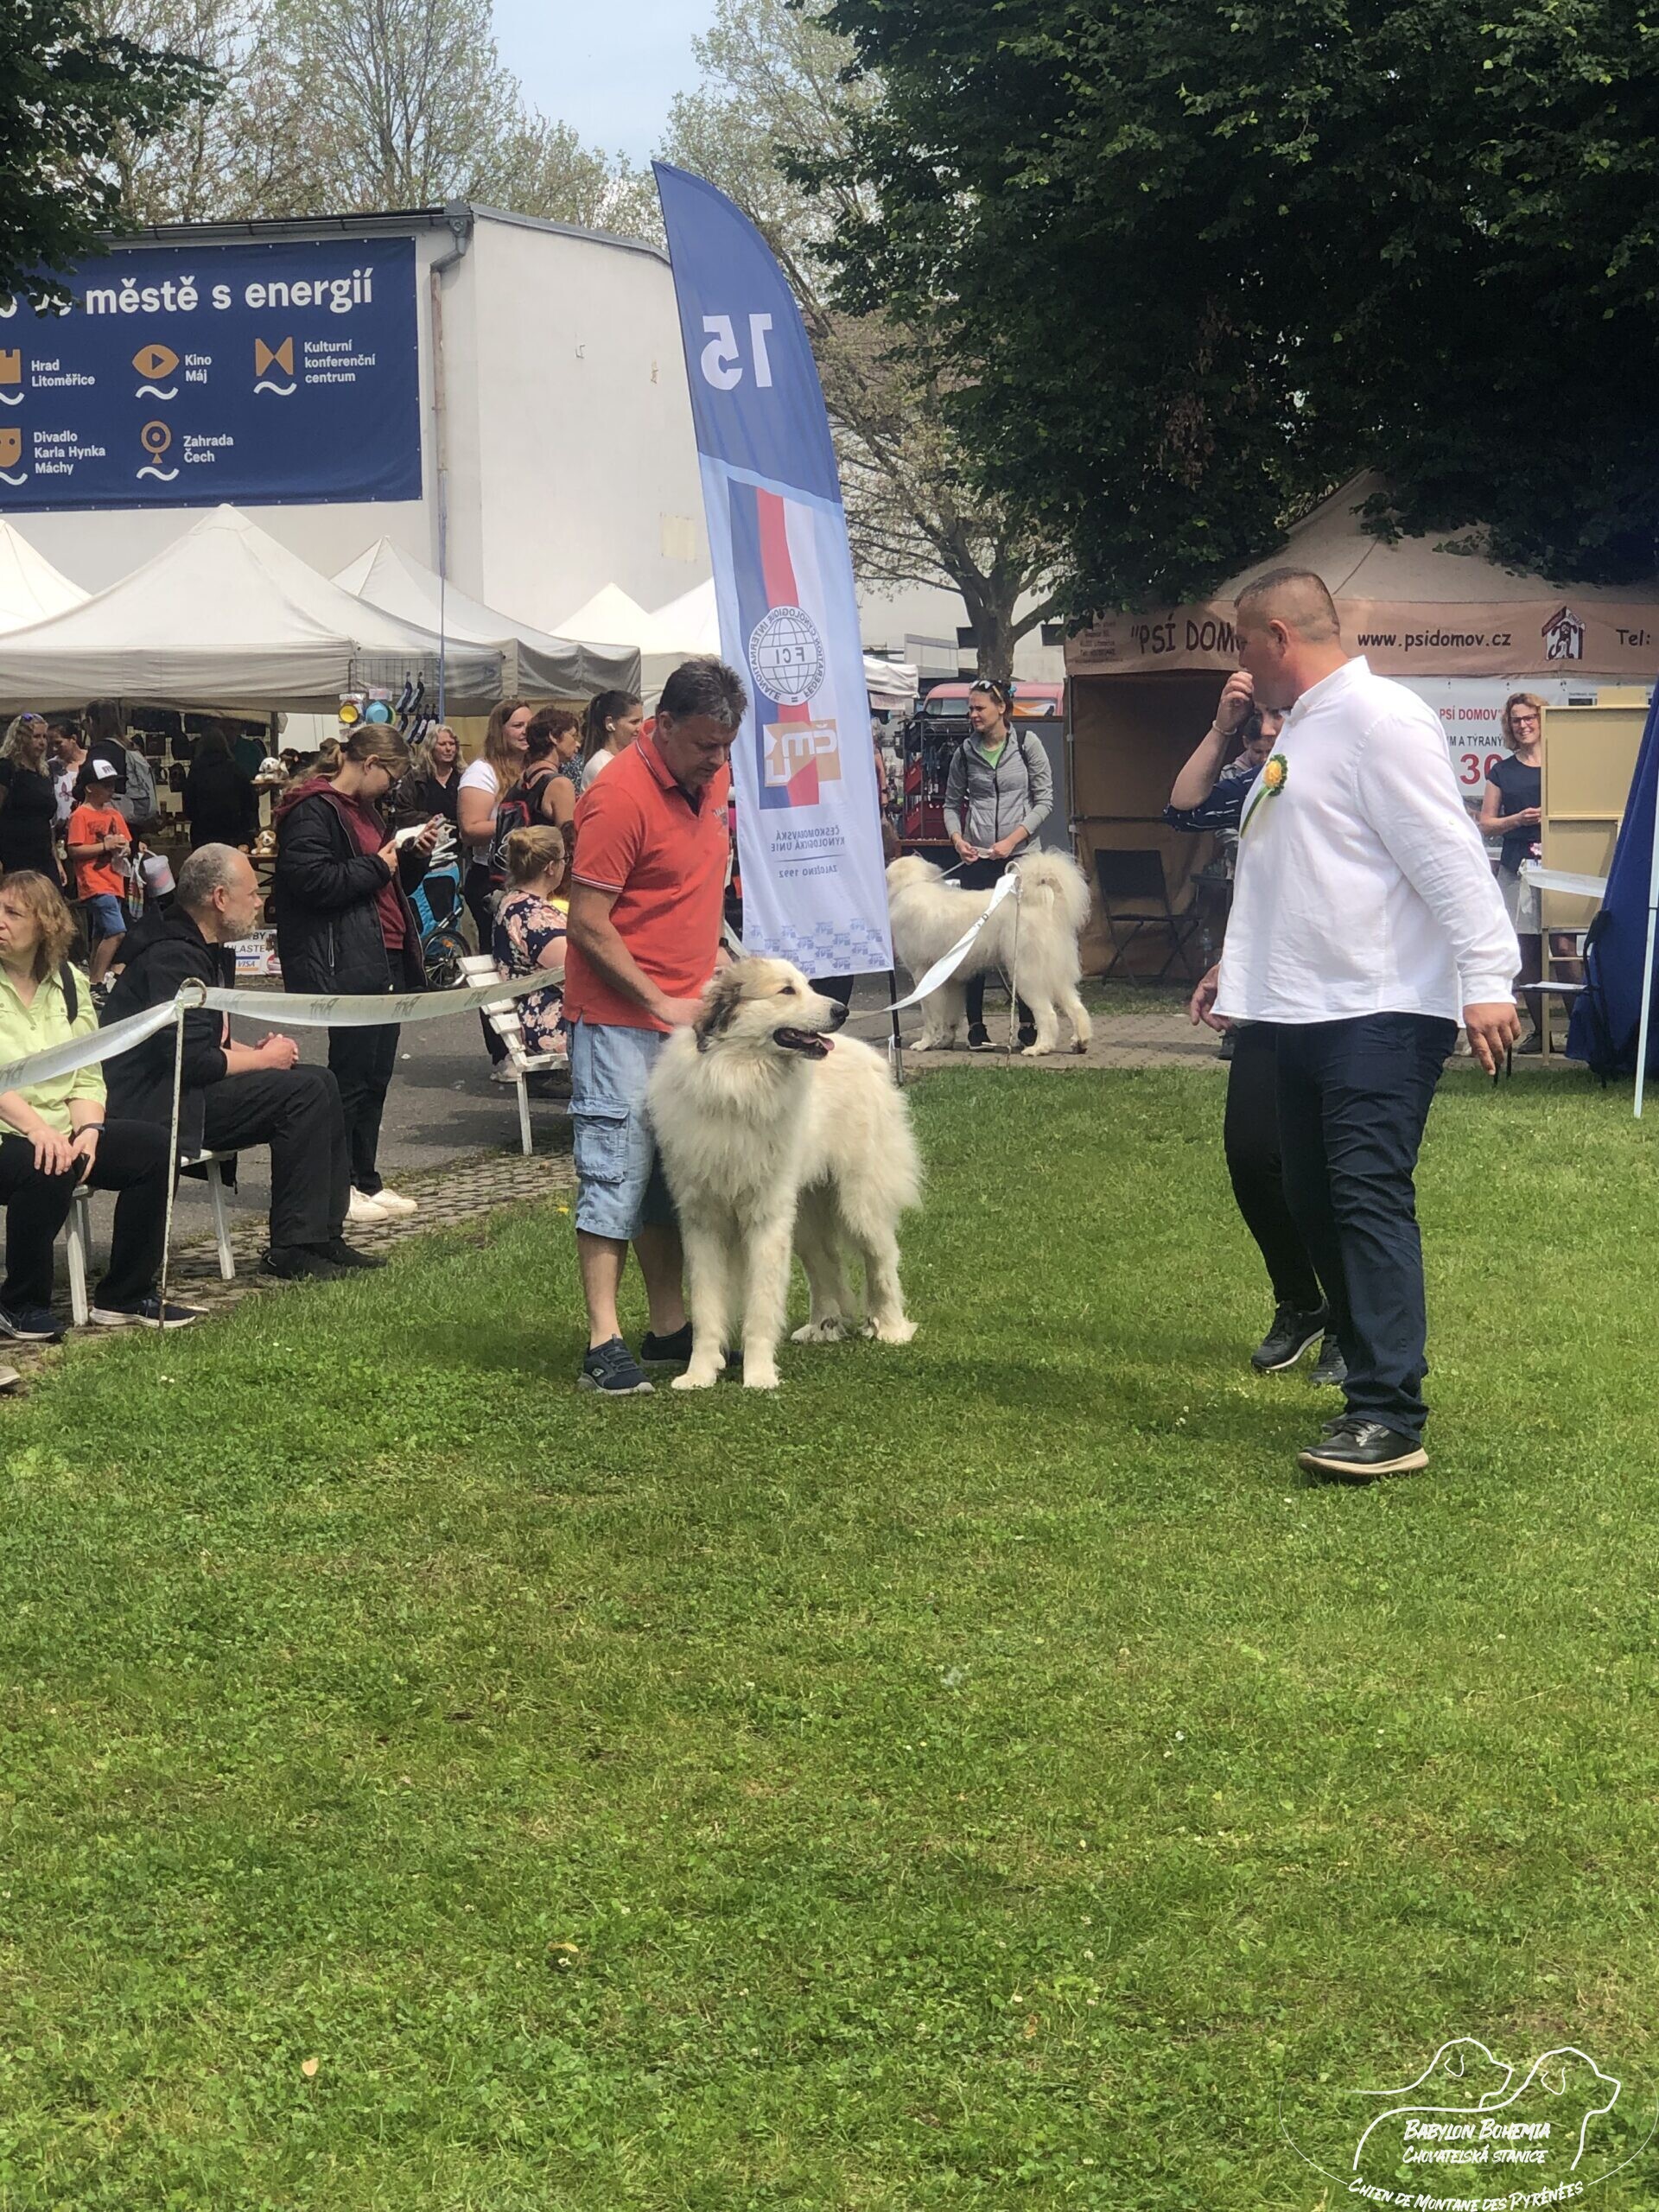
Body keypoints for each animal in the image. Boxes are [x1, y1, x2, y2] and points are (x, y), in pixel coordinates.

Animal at [646, 958, 921, 1390]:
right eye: (787, 991)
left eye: (808, 986)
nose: (842, 1011)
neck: (738, 1080)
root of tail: (868, 1052)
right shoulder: (702, 1221)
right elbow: (706, 1307)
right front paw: (699, 1374)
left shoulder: (766, 1218)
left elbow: (761, 1304)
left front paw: (758, 1374)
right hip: (804, 1212)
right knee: (824, 1261)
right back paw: (823, 1326)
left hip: (858, 1203)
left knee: (882, 1259)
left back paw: (891, 1327)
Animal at [886, 849, 1094, 1056]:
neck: (910, 885)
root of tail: (1041, 903)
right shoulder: (952, 980)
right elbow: (950, 1018)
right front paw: (944, 1041)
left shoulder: (922, 975)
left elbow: (930, 1017)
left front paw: (924, 1043)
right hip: (1056, 975)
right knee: (1077, 1008)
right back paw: (1080, 1042)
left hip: (1026, 975)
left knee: (1047, 1014)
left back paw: (1039, 1048)